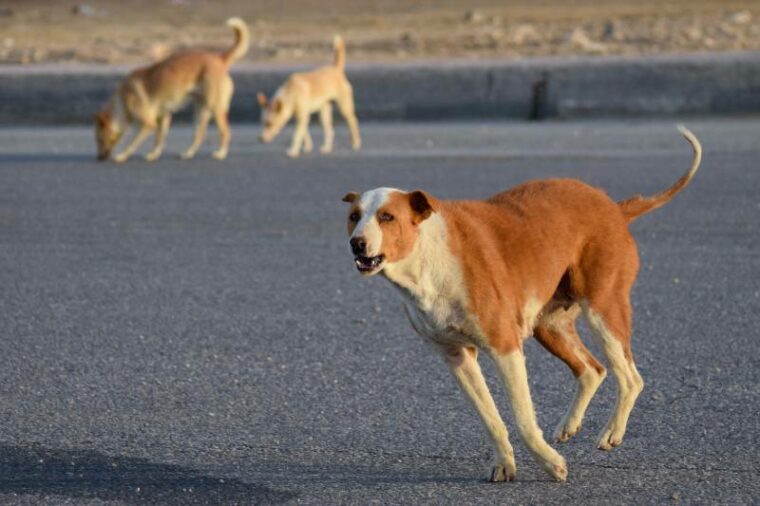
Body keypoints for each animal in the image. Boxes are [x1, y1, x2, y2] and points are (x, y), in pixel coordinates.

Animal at [94, 17, 249, 163]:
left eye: (99, 140)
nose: (99, 158)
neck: (122, 100)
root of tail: (219, 59)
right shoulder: (163, 118)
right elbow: (159, 140)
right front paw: (153, 155)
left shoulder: (148, 124)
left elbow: (132, 144)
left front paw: (122, 156)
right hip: (201, 112)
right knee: (199, 135)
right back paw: (188, 154)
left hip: (216, 109)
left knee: (226, 133)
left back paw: (221, 153)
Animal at [342, 126, 704, 482]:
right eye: (354, 216)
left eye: (387, 216)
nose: (356, 243)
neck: (426, 261)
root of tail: (613, 206)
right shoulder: (457, 358)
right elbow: (490, 418)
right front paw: (505, 463)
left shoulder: (505, 348)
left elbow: (522, 418)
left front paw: (551, 464)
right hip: (548, 325)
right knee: (592, 369)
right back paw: (570, 425)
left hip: (602, 309)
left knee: (629, 377)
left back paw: (612, 432)